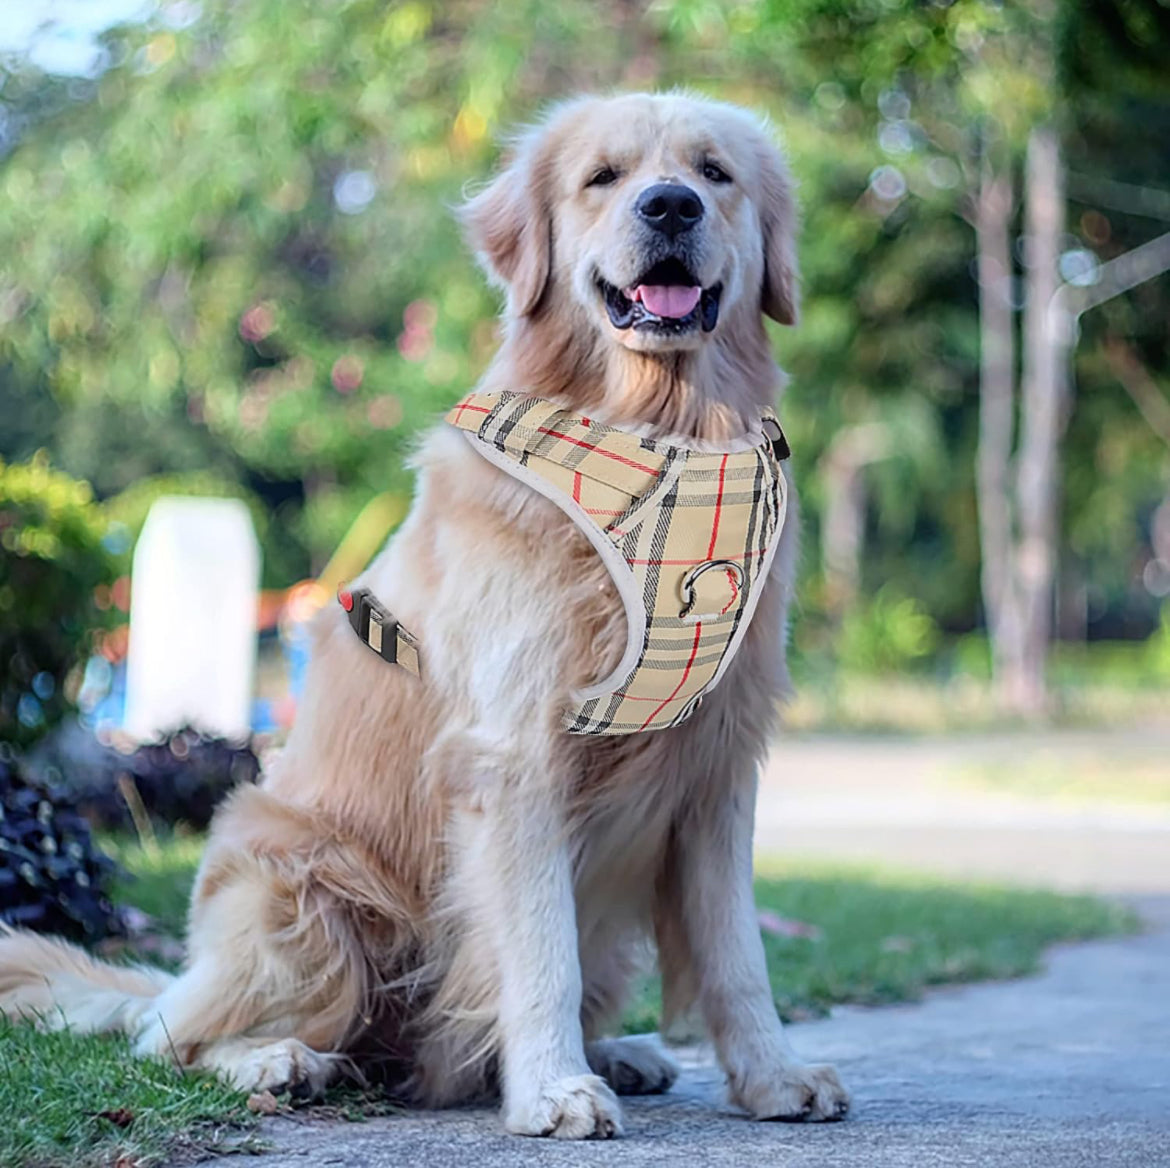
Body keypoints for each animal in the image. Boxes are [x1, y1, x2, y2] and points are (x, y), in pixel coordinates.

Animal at [0, 93, 847, 1142]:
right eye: (603, 178)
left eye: (714, 174)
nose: (670, 206)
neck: (661, 433)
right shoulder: (515, 754)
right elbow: (537, 950)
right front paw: (553, 1089)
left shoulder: (718, 762)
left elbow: (737, 955)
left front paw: (773, 1076)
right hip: (304, 891)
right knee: (172, 1036)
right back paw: (279, 1060)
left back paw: (618, 1051)